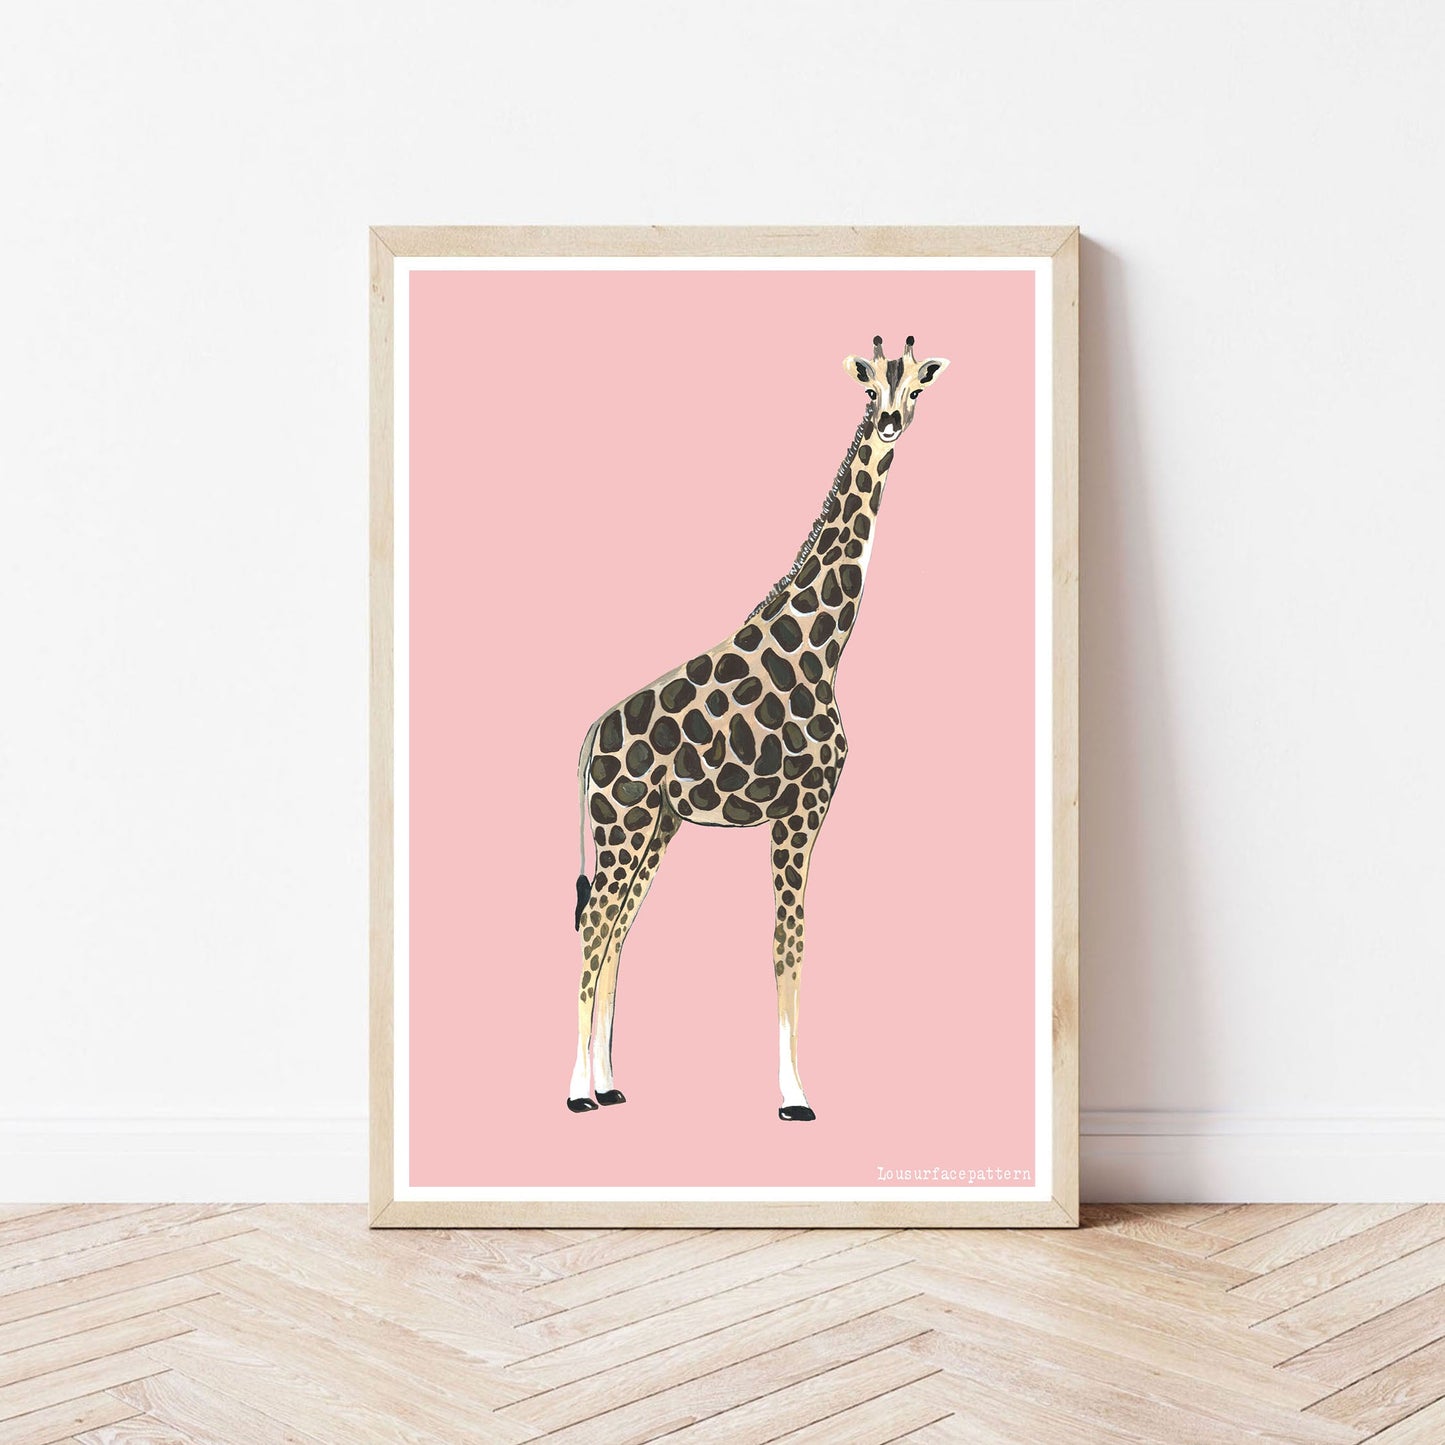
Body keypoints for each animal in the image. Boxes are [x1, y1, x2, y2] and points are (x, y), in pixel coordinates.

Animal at [567, 335, 949, 1120]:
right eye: (870, 389)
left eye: (915, 388)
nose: (890, 423)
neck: (823, 647)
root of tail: (592, 732)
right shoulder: (798, 812)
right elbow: (786, 944)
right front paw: (795, 1096)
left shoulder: (800, 815)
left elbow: (790, 943)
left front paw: (791, 1089)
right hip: (621, 825)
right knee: (594, 927)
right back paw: (574, 1092)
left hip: (654, 828)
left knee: (615, 931)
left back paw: (608, 1085)